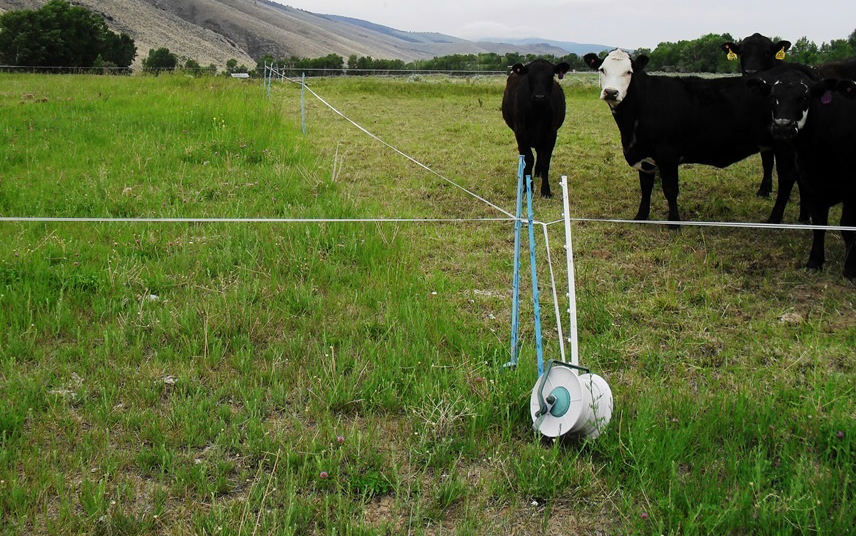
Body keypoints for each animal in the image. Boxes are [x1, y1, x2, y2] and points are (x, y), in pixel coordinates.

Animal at [498, 58, 572, 197]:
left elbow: (545, 161)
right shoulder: (521, 133)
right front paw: (528, 187)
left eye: (551, 75)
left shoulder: (551, 134)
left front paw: (546, 190)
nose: (539, 97)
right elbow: (528, 159)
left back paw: (538, 173)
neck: (538, 112)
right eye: (530, 75)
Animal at [580, 49, 796, 225]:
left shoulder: (668, 155)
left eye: (628, 72)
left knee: (787, 179)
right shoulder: (645, 156)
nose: (611, 92)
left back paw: (774, 219)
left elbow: (670, 189)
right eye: (602, 69)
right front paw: (641, 217)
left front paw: (674, 223)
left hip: (785, 145)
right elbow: (646, 187)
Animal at [748, 68, 856, 280]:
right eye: (773, 97)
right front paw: (815, 261)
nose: (782, 126)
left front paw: (850, 268)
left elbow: (848, 226)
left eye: (804, 97)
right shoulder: (811, 183)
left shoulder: (852, 189)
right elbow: (819, 224)